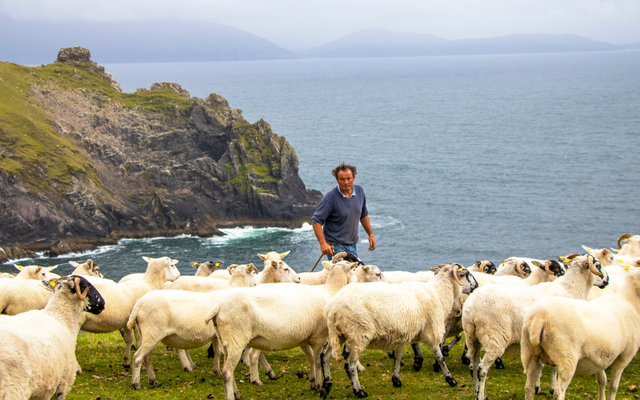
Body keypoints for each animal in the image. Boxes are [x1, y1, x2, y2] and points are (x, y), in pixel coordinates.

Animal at [205, 258, 358, 398]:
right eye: (353, 270)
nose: (358, 284)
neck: (330, 290)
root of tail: (219, 307)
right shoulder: (319, 337)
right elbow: (317, 361)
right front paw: (320, 385)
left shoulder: (303, 338)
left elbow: (310, 358)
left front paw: (312, 381)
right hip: (237, 340)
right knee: (227, 372)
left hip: (227, 342)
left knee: (228, 369)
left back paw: (237, 393)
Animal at [322, 264, 478, 398]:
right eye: (465, 274)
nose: (476, 286)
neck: (440, 293)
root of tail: (332, 307)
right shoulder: (432, 332)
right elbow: (440, 357)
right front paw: (450, 379)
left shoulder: (402, 335)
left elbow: (398, 357)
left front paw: (396, 379)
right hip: (358, 334)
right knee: (350, 364)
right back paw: (358, 391)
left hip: (338, 333)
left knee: (325, 355)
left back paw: (326, 385)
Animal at [462, 255, 608, 400]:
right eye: (598, 265)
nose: (607, 281)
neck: (570, 289)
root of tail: (472, 307)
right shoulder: (557, 339)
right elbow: (554, 368)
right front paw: (551, 388)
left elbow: (539, 365)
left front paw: (537, 387)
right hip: (495, 338)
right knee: (481, 369)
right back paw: (480, 396)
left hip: (472, 337)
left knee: (473, 366)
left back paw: (477, 391)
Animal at [524, 266, 640, 400]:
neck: (631, 302)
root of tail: (540, 317)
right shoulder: (624, 357)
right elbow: (614, 387)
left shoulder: (599, 357)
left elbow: (602, 381)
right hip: (566, 358)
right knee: (559, 392)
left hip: (530, 353)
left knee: (529, 388)